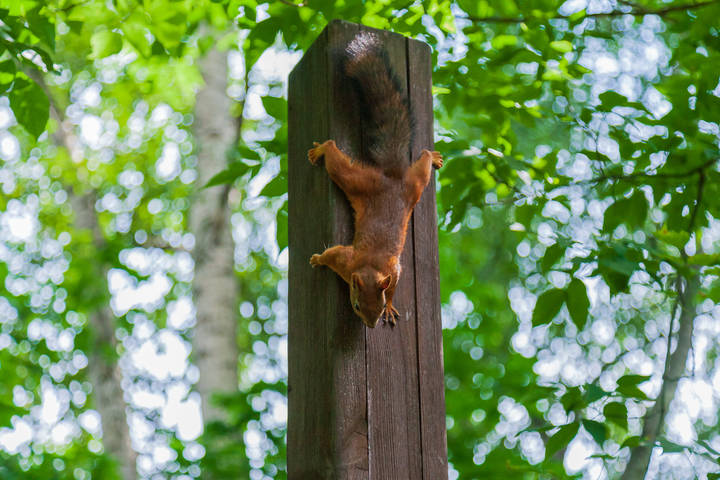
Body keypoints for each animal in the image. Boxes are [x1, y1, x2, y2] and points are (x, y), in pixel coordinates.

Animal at [307, 31, 442, 328]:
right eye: (357, 306)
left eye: (378, 308)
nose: (370, 325)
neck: (370, 267)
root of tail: (391, 176)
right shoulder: (345, 260)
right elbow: (331, 254)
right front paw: (318, 259)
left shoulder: (392, 270)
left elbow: (393, 283)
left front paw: (392, 306)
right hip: (366, 181)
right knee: (335, 158)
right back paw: (322, 149)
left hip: (410, 186)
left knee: (423, 162)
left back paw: (433, 156)